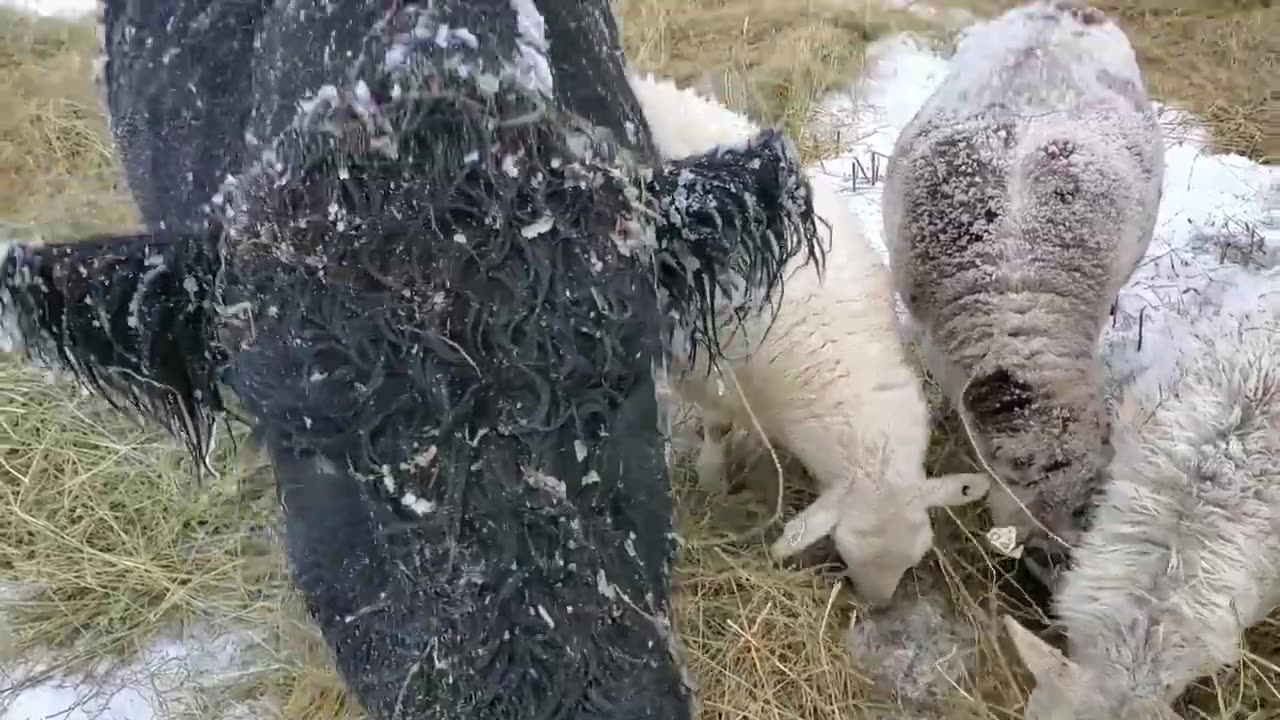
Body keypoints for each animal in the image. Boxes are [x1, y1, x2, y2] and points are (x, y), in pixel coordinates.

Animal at [629, 73, 988, 602]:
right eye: (844, 548)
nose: (879, 607)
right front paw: (714, 480)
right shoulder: (712, 371)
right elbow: (716, 427)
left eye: (915, 555)